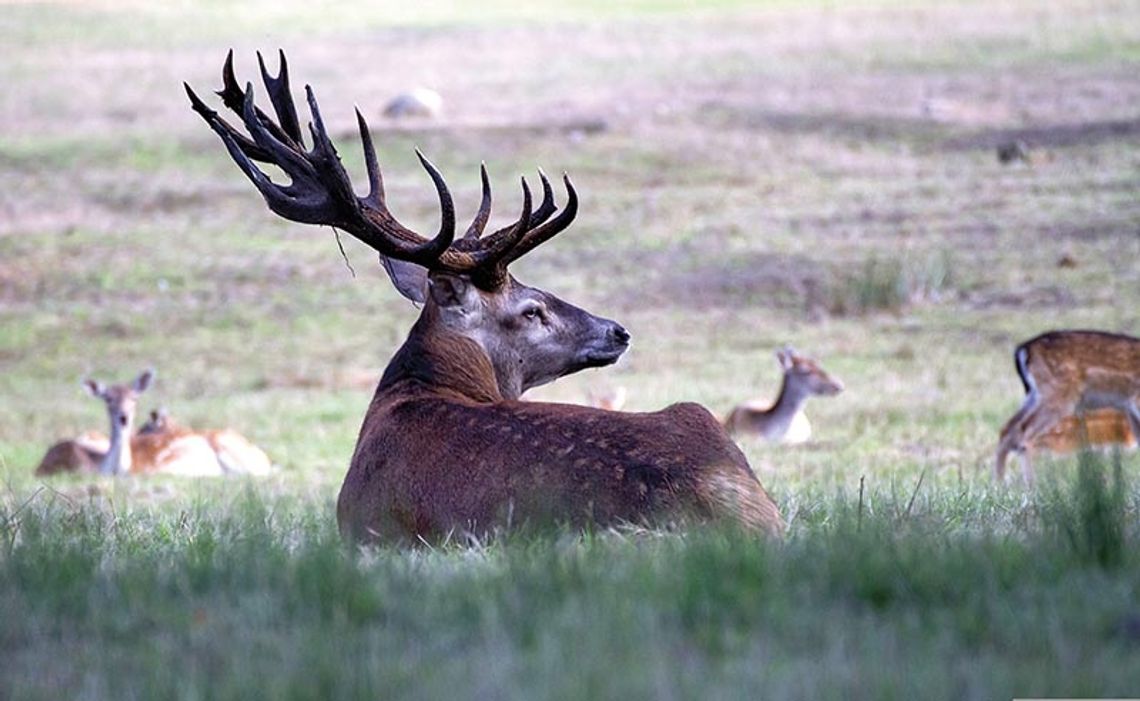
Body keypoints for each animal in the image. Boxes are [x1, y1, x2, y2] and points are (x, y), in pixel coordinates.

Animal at [994, 328, 1135, 483]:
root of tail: (1022, 349)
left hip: (1035, 395)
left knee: (1008, 429)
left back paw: (999, 483)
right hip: (1058, 396)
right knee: (1025, 433)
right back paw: (1031, 486)